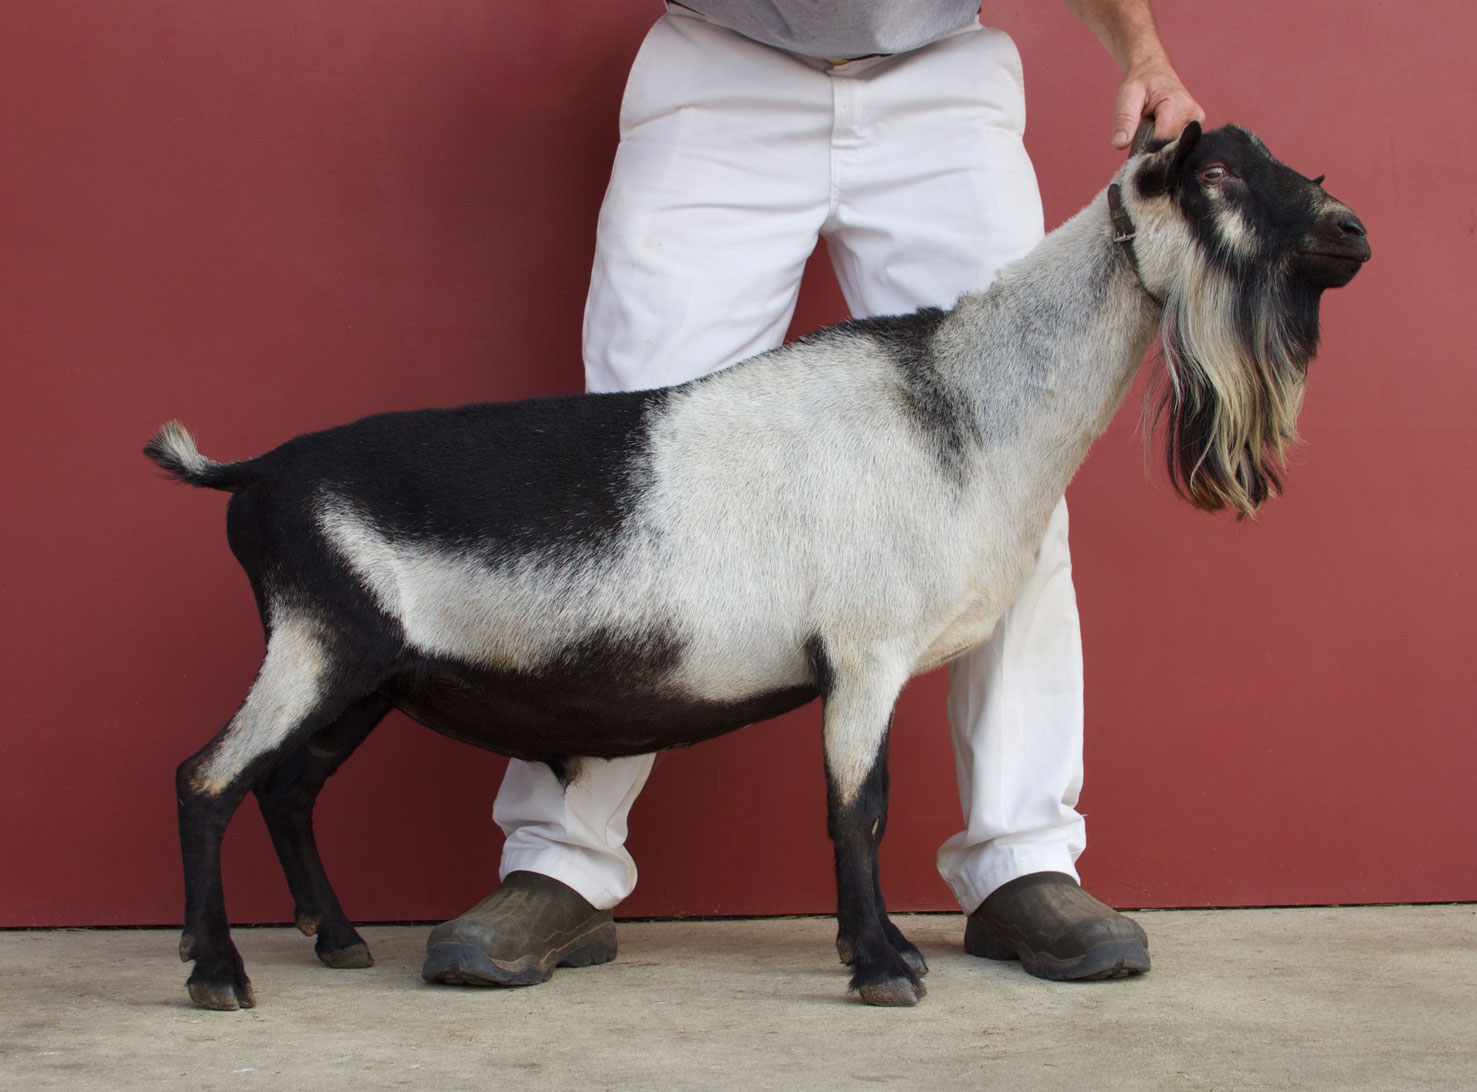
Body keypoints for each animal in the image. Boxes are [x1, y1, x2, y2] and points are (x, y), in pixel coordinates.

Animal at [144, 124, 1364, 1010]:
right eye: (1217, 175)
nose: (1351, 230)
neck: (961, 407)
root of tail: (253, 474)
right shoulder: (864, 653)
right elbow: (858, 808)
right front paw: (882, 967)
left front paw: (881, 956)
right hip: (318, 644)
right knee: (208, 779)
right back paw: (219, 975)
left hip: (364, 675)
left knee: (288, 787)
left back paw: (338, 940)